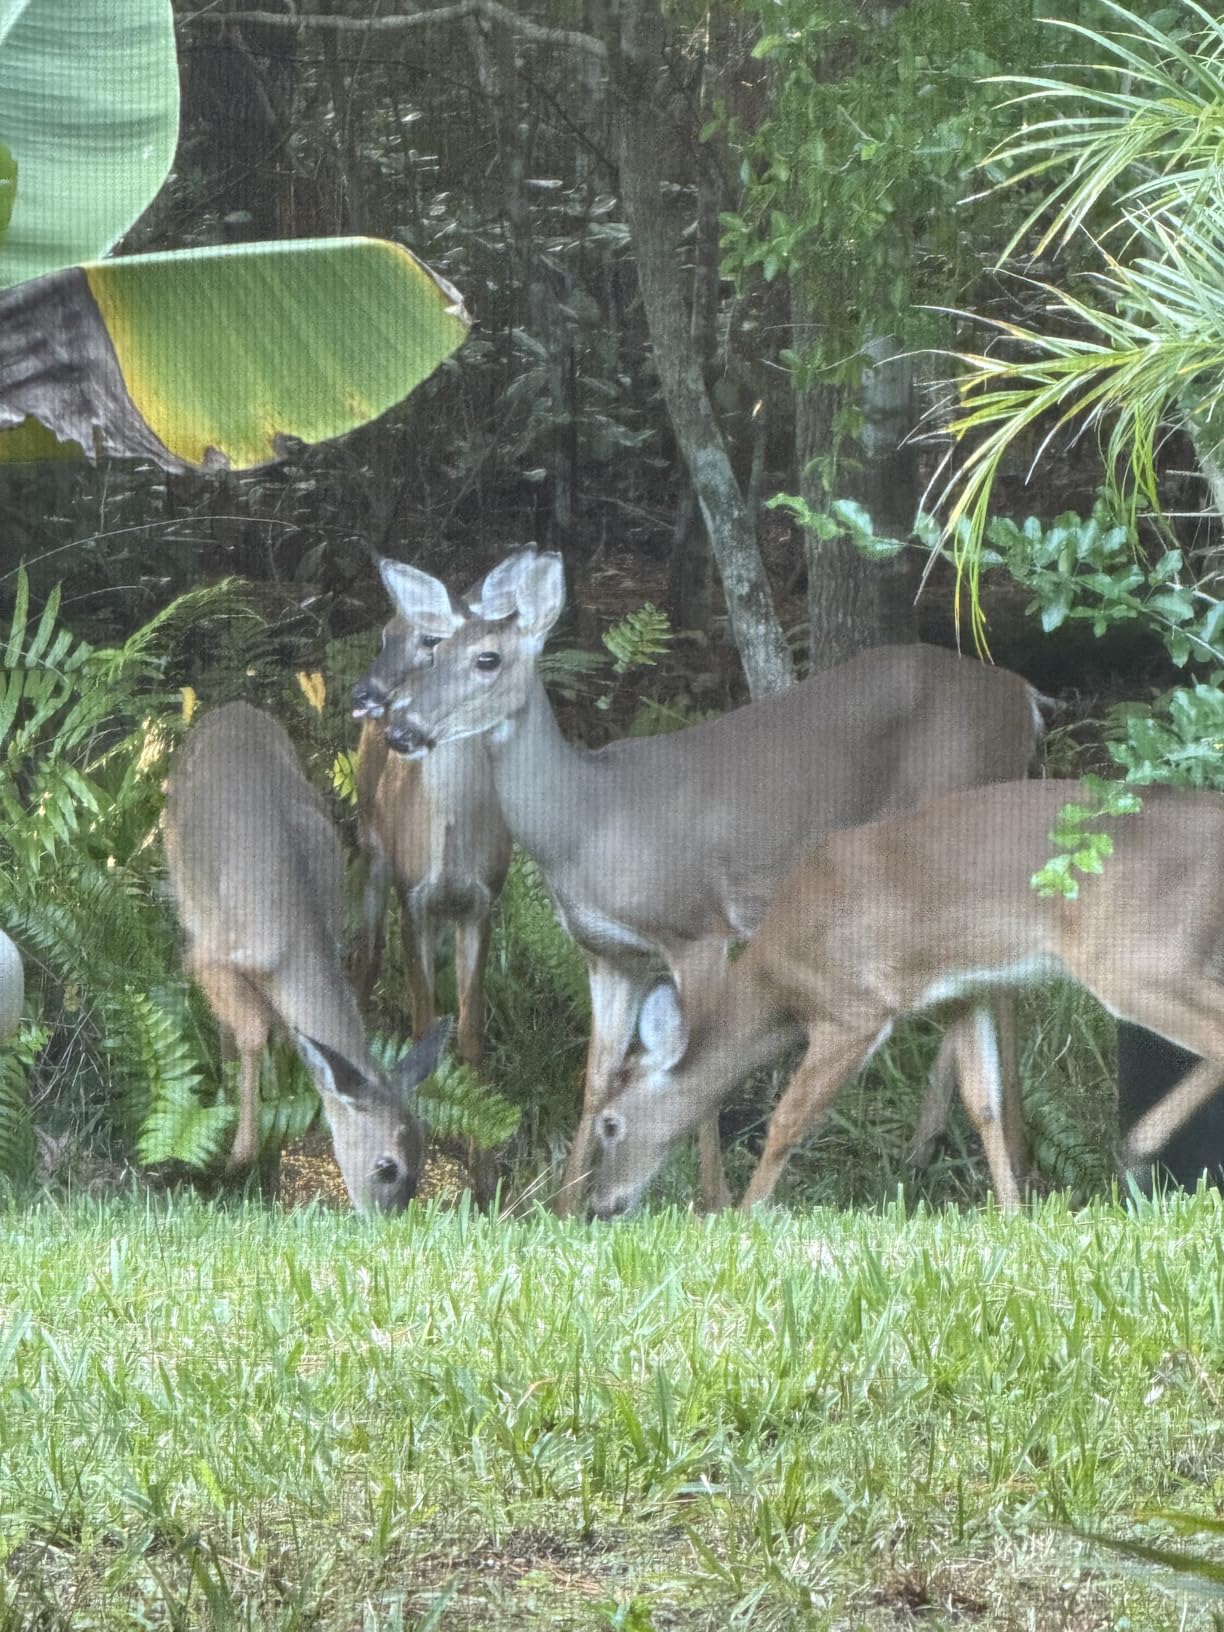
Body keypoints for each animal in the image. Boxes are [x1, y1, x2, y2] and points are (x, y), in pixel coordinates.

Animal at [162, 700, 451, 1212]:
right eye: (386, 1166)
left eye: (422, 1149)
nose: (391, 1219)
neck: (295, 937)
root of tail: (231, 707)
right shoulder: (208, 955)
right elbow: (253, 1031)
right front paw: (240, 1157)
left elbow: (284, 1037)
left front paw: (270, 1156)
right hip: (182, 879)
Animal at [378, 547, 1044, 1216]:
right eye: (432, 649)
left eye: (487, 658)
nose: (400, 730)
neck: (588, 824)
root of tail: (1025, 698)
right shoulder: (609, 953)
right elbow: (596, 1078)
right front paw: (564, 1207)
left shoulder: (696, 928)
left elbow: (696, 1062)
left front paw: (711, 1201)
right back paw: (934, 1148)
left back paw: (1005, 1152)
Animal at [587, 779, 1224, 1216]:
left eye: (611, 1125)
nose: (600, 1205)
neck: (779, 980)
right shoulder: (963, 991)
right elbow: (983, 1102)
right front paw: (1013, 1214)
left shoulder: (853, 1008)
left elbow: (788, 1119)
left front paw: (745, 1216)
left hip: (1135, 957)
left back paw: (1138, 1148)